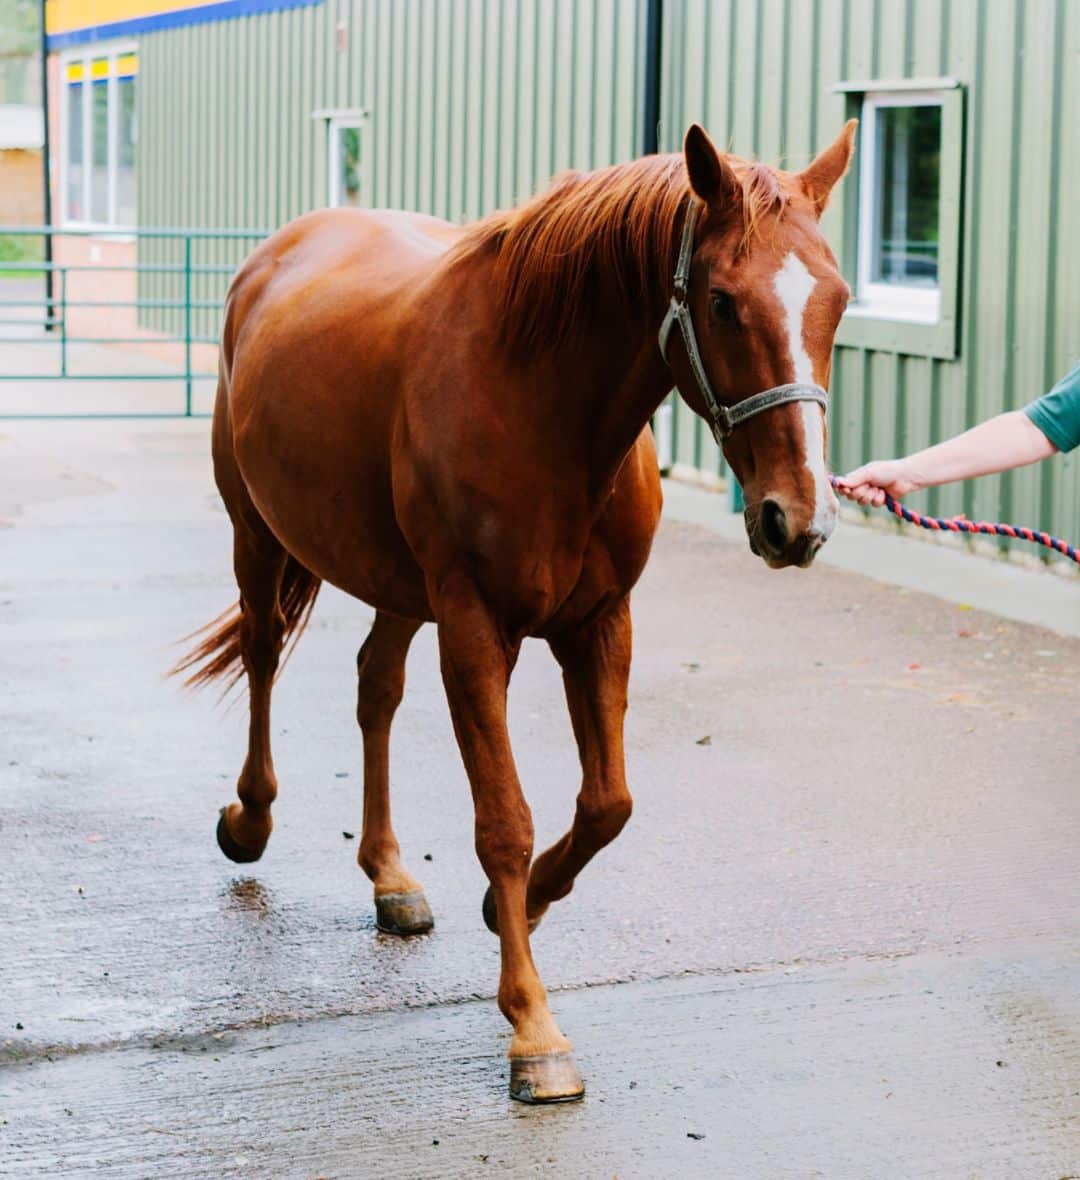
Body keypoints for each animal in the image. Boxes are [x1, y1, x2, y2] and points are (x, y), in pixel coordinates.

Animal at [177, 120, 856, 1103]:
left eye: (836, 301)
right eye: (724, 302)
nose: (796, 521)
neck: (538, 402)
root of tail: (272, 258)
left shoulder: (598, 622)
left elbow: (608, 804)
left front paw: (520, 906)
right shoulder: (474, 629)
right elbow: (505, 822)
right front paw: (534, 1029)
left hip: (397, 584)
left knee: (375, 689)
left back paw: (390, 876)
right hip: (258, 535)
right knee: (265, 656)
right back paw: (251, 820)